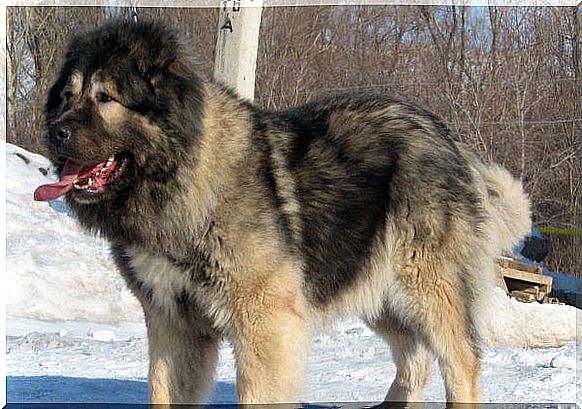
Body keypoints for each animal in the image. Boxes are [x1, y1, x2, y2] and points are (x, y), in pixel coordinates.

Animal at [34, 19, 532, 404]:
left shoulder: (264, 321)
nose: (55, 131)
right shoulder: (173, 323)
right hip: (377, 290)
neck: (181, 178)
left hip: (429, 288)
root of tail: (450, 141)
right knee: (415, 361)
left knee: (460, 364)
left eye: (105, 97)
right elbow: (163, 391)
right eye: (67, 96)